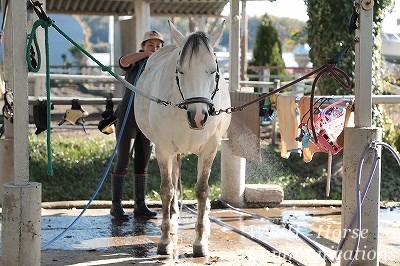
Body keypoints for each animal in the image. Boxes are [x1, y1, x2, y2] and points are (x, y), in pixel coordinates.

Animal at [134, 19, 231, 256]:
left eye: (213, 70)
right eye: (181, 71)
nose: (198, 117)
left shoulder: (209, 149)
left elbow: (202, 190)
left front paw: (200, 242)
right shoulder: (163, 149)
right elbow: (166, 190)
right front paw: (165, 241)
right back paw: (172, 223)